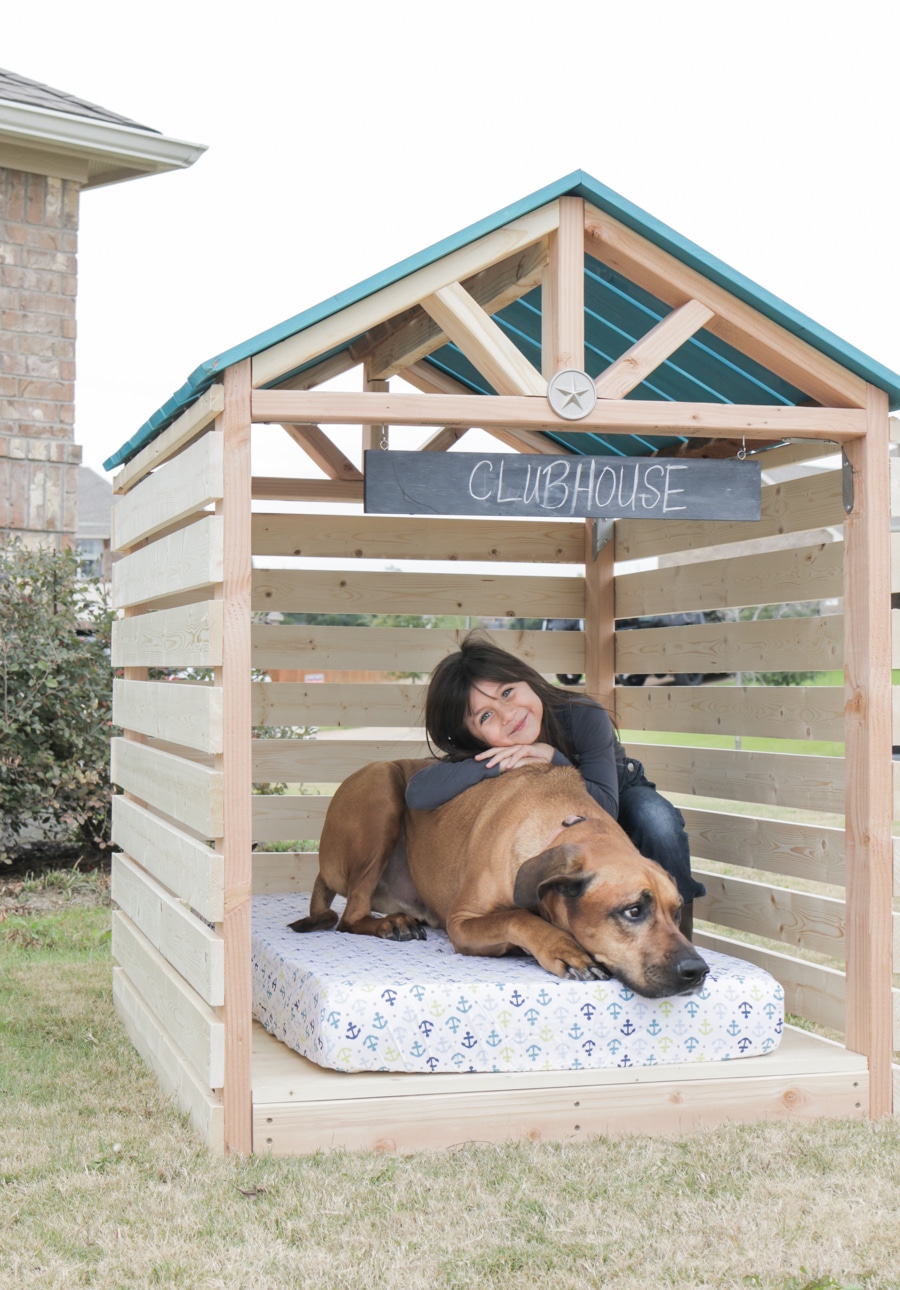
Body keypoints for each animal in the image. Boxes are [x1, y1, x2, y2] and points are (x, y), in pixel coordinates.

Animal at [291, 753, 706, 995]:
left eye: (676, 912)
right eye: (633, 910)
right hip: (382, 790)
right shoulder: (462, 922)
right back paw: (390, 923)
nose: (697, 970)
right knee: (350, 917)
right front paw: (562, 947)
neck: (566, 825)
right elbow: (517, 916)